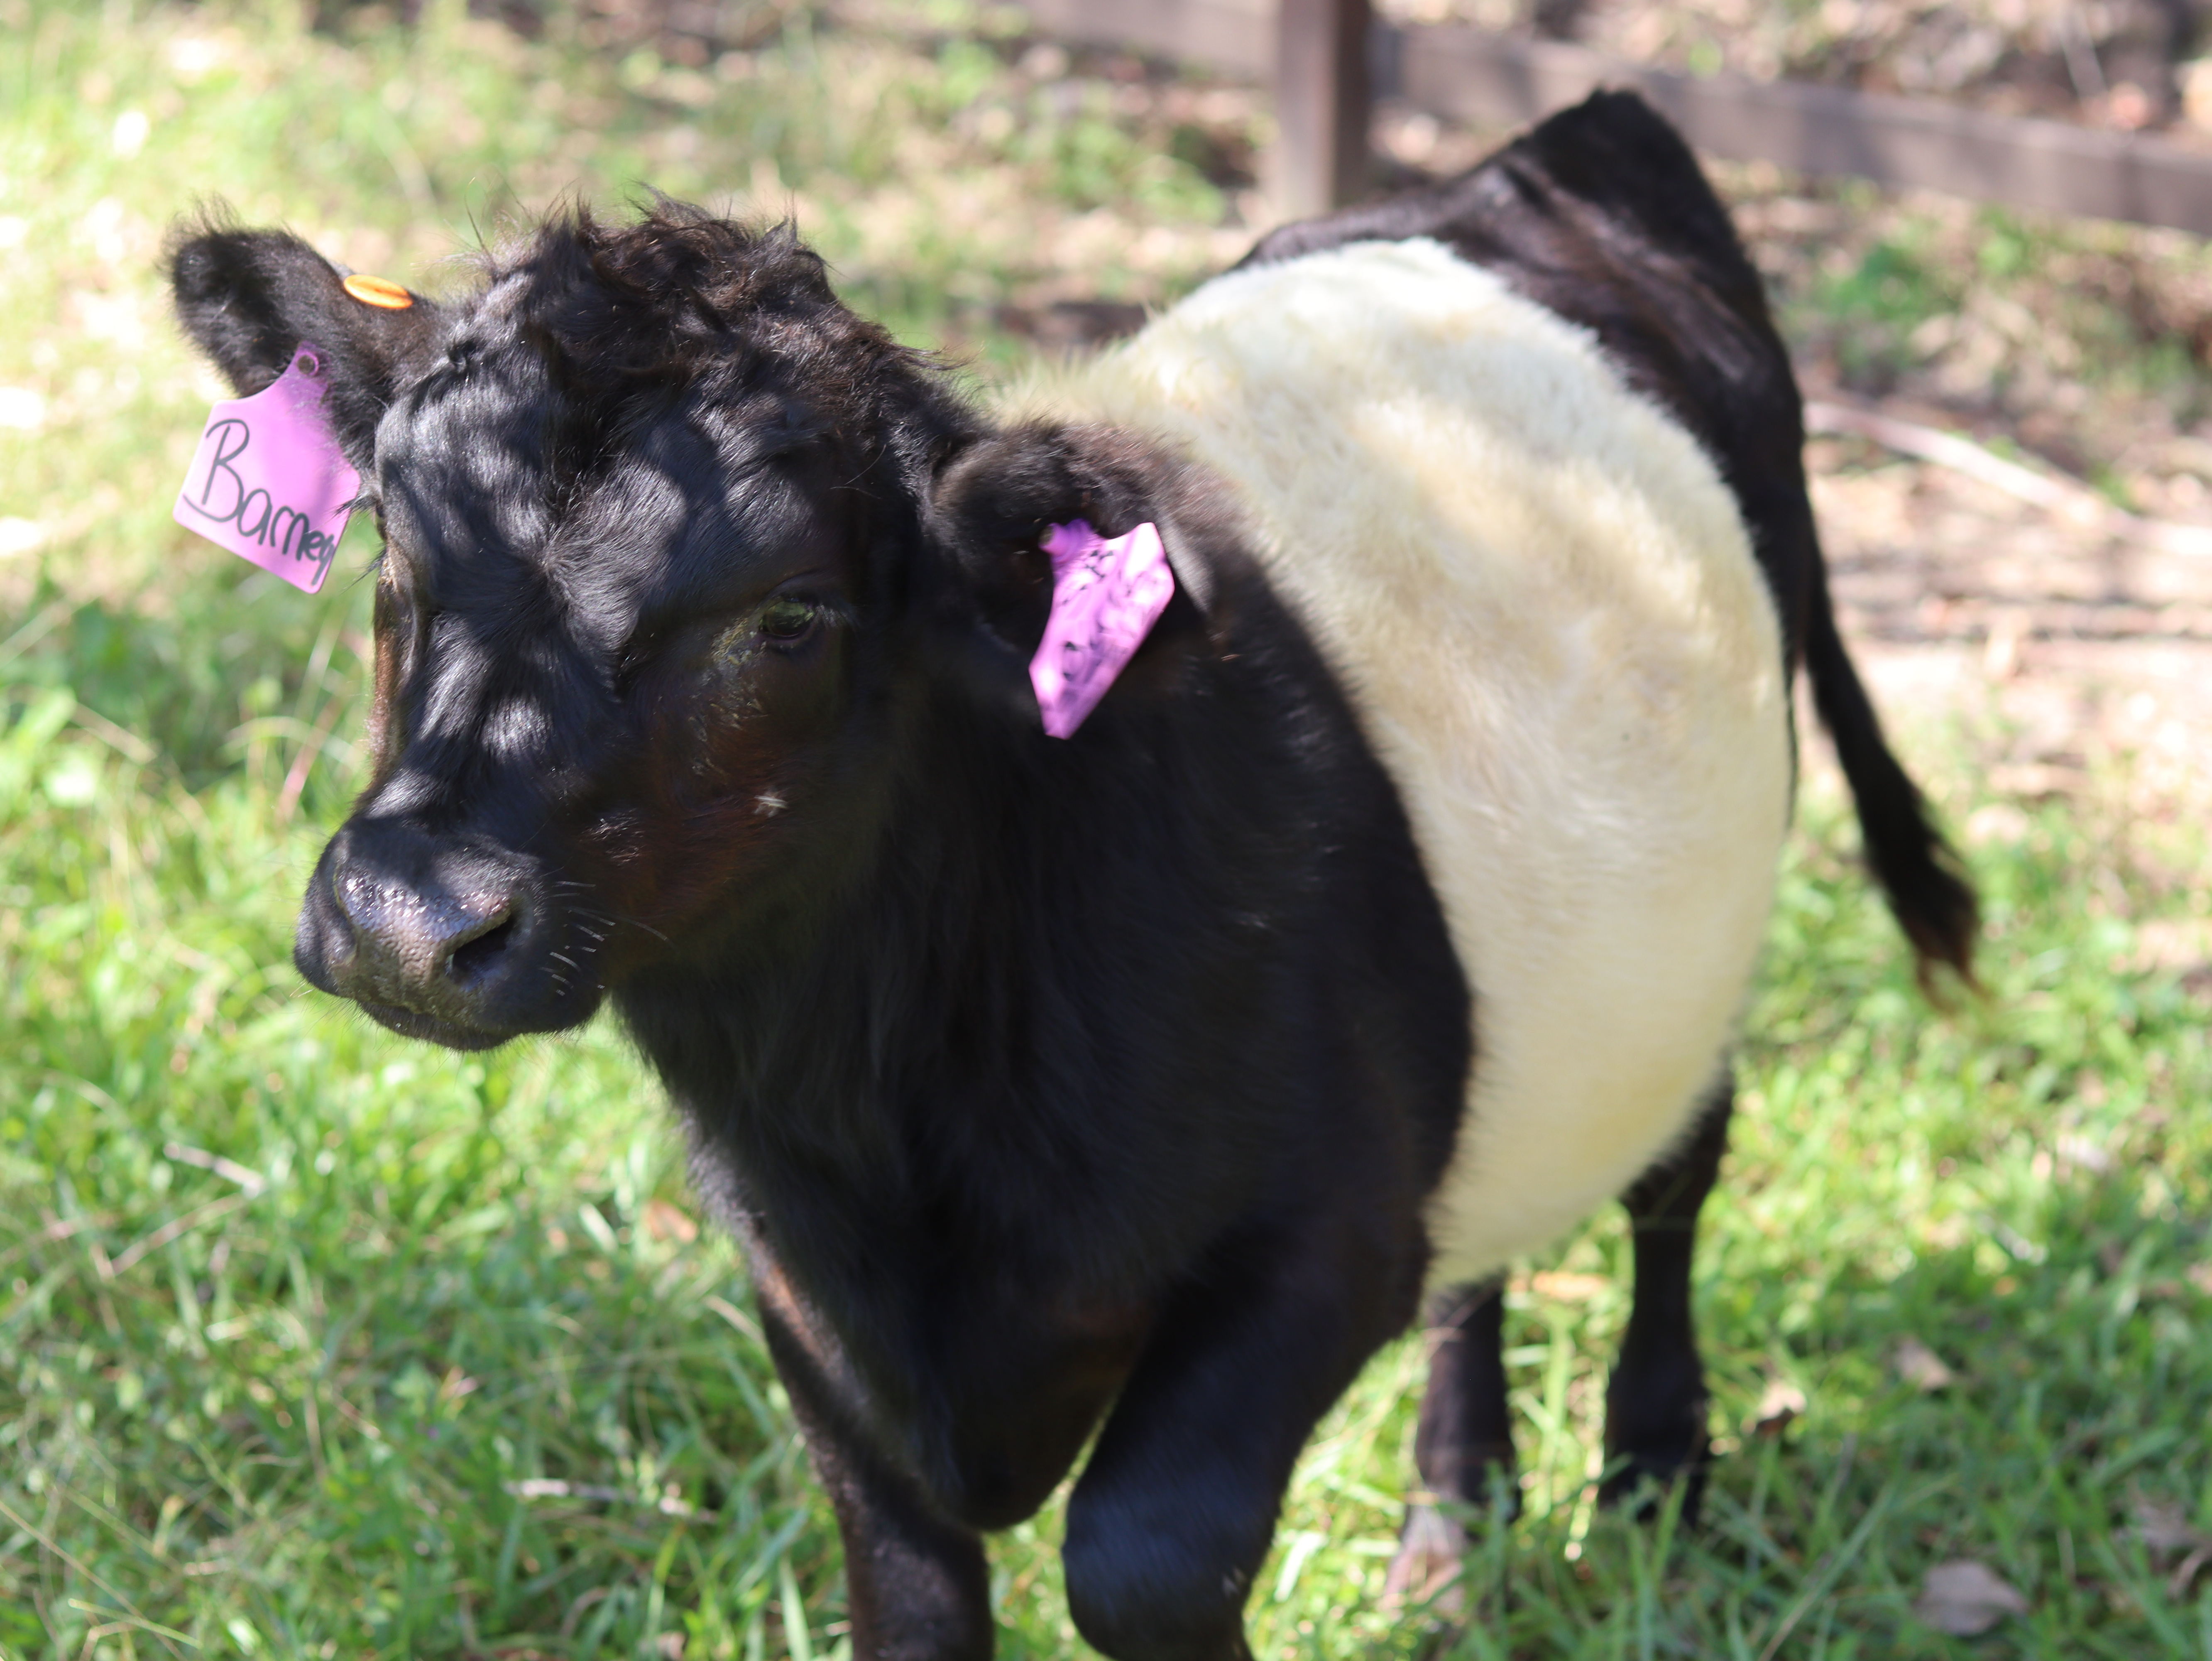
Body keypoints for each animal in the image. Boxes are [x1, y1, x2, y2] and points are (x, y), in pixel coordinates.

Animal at [169, 91, 1973, 1659]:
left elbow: (1145, 1558)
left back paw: (1653, 1480)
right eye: (395, 554)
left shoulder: (1326, 1230)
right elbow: (908, 1591)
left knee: (1674, 1171)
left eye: (788, 617)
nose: (409, 920)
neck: (896, 1118)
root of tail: (1544, 158)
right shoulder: (809, 1296)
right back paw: (1453, 1535)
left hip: (1708, 916)